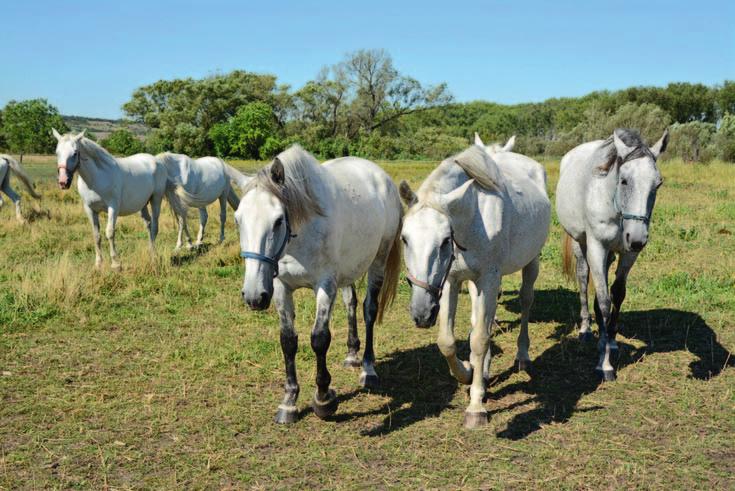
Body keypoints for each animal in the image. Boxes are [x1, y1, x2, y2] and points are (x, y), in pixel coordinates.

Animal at [53, 129, 168, 270]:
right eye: (57, 152)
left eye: (75, 153)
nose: (63, 182)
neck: (96, 178)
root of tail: (156, 160)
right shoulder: (89, 209)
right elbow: (96, 235)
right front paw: (98, 264)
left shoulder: (113, 207)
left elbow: (110, 232)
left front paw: (115, 264)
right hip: (143, 205)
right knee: (148, 224)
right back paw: (150, 251)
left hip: (156, 199)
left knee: (155, 226)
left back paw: (154, 256)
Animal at [234, 144, 402, 424]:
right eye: (238, 220)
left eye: (278, 220)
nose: (254, 296)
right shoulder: (281, 287)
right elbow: (288, 341)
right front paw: (289, 401)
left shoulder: (325, 285)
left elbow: (319, 338)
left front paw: (323, 399)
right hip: (348, 270)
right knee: (351, 303)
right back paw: (352, 355)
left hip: (378, 260)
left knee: (369, 310)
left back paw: (368, 369)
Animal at [400, 138, 548, 426]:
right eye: (404, 239)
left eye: (445, 240)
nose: (422, 313)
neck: (473, 218)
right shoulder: (450, 280)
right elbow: (447, 341)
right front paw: (468, 372)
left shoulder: (488, 277)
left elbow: (479, 339)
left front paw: (476, 406)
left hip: (530, 262)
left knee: (525, 302)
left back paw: (522, 356)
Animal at [560, 129, 668, 382]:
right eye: (624, 180)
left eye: (658, 184)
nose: (637, 239)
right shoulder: (597, 247)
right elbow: (604, 300)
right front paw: (605, 364)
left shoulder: (628, 255)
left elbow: (616, 295)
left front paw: (610, 340)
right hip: (581, 243)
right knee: (583, 278)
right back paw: (586, 329)